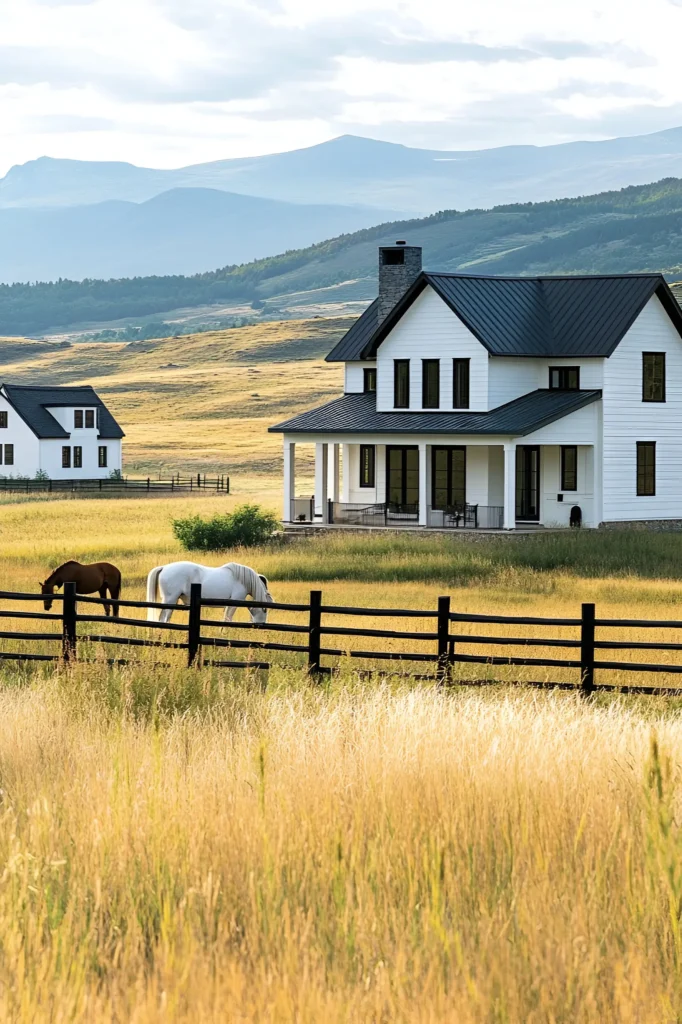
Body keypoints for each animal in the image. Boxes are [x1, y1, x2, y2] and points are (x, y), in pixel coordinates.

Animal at [144, 561, 272, 622]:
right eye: (265, 610)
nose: (260, 625)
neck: (242, 580)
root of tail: (164, 567)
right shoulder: (234, 602)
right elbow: (227, 619)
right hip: (170, 600)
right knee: (163, 618)